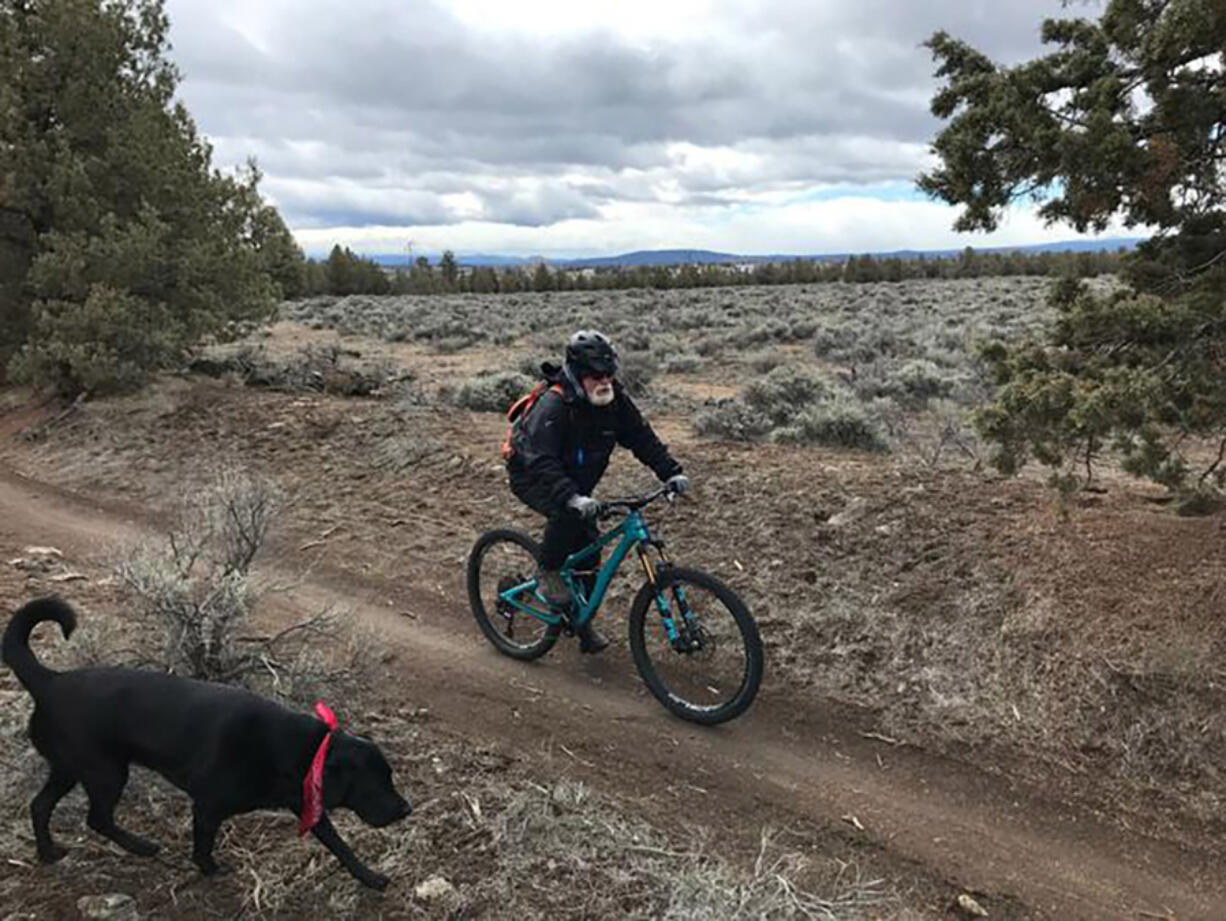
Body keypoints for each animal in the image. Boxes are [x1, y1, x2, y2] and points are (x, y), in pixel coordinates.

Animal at [1, 598, 411, 892]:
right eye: (378, 783)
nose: (406, 809)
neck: (301, 750)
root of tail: (50, 680)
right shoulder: (208, 805)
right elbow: (204, 843)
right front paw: (210, 869)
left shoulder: (308, 805)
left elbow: (340, 845)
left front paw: (370, 876)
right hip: (106, 772)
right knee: (97, 818)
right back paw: (142, 846)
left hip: (68, 768)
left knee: (40, 806)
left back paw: (49, 852)